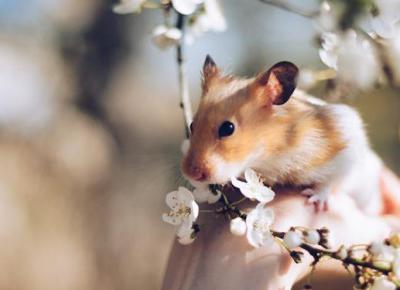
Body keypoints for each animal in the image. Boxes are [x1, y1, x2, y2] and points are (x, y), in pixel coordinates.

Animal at [183, 55, 400, 213]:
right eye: (192, 126)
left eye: (228, 128)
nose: (191, 174)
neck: (269, 154)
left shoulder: (347, 144)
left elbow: (331, 180)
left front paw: (314, 201)